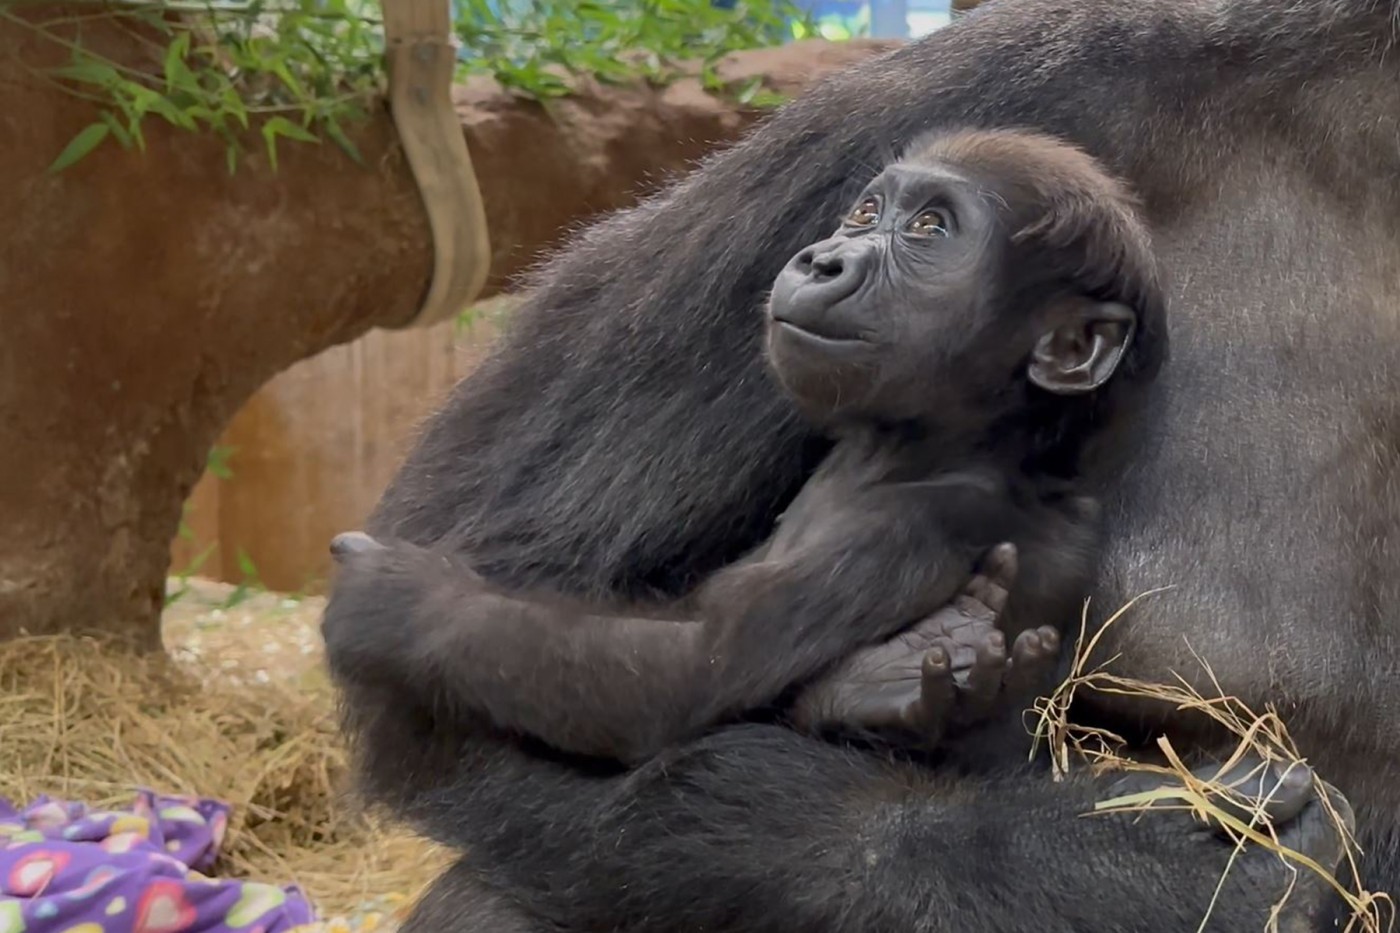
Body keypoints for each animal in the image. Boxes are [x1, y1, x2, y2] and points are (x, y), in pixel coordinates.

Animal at [322, 128, 1164, 762]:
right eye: (865, 212)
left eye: (930, 230)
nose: (823, 258)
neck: (919, 448)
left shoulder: (915, 526)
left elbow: (694, 664)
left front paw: (398, 600)